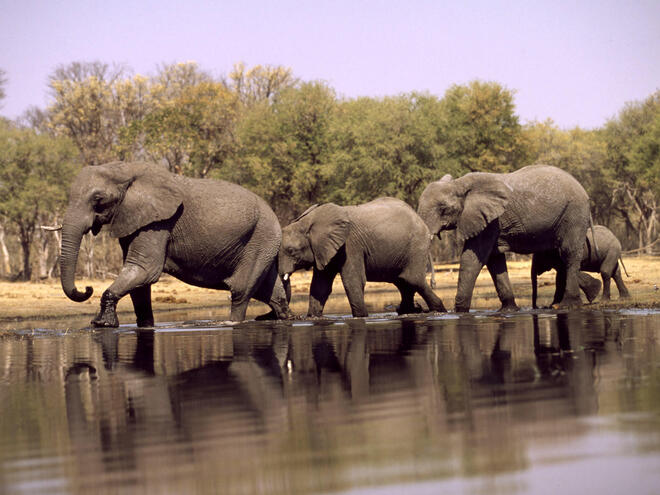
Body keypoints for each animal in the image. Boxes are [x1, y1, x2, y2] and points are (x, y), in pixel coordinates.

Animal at [276, 198, 446, 318]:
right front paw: (312, 317)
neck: (308, 222)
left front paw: (362, 316)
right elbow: (320, 286)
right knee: (403, 282)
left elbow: (353, 280)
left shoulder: (350, 245)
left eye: (291, 251)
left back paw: (439, 311)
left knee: (413, 279)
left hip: (417, 246)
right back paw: (410, 310)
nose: (295, 317)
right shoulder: (323, 250)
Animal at [418, 167, 592, 314]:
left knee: (569, 254)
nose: (434, 283)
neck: (459, 184)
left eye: (443, 209)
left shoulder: (491, 221)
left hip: (574, 215)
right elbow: (494, 261)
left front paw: (459, 312)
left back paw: (568, 306)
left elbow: (473, 258)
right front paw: (508, 311)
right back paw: (555, 305)